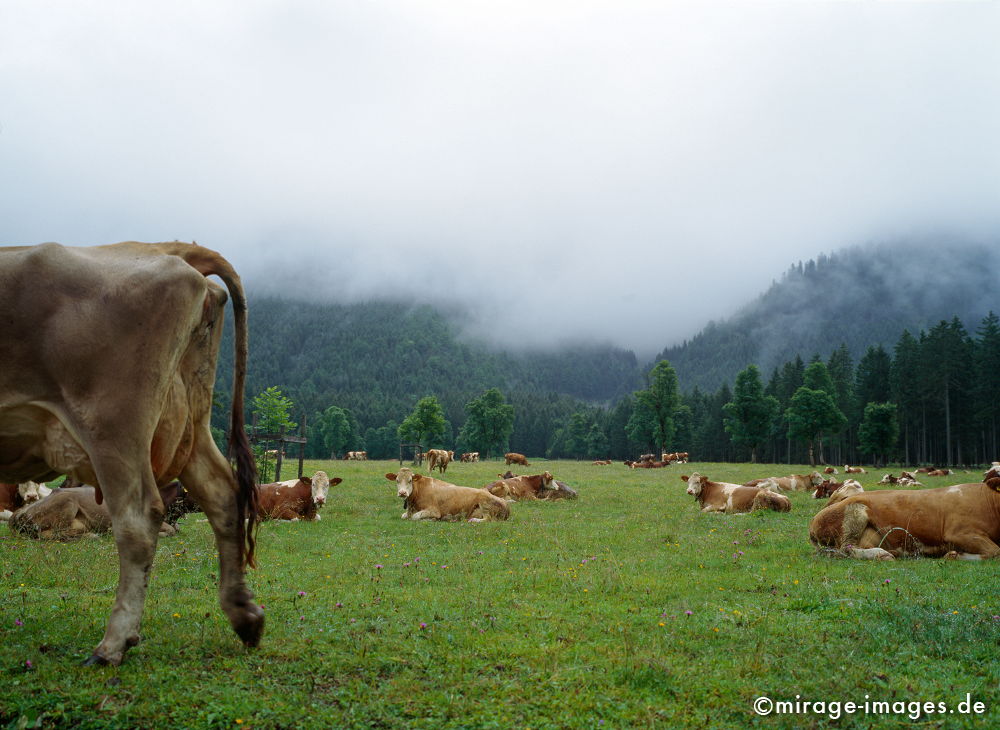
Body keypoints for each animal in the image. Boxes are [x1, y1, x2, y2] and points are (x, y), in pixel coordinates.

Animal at [0, 240, 262, 664]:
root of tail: (166, 249)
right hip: (189, 418)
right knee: (222, 494)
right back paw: (244, 614)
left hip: (114, 424)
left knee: (137, 519)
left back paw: (112, 644)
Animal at [808, 474, 1000, 560]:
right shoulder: (960, 533)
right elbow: (995, 551)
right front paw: (954, 555)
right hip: (854, 513)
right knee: (846, 549)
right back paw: (883, 554)